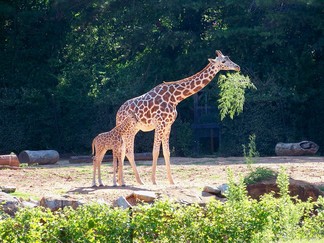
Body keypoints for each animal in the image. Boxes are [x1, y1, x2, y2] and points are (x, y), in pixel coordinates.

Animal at [116, 49, 240, 184]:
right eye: (223, 61)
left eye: (228, 58)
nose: (237, 67)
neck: (175, 98)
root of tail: (118, 113)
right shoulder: (160, 124)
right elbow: (155, 151)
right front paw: (154, 180)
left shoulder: (168, 125)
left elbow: (167, 152)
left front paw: (171, 181)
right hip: (129, 130)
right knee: (127, 151)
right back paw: (135, 181)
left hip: (133, 130)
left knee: (124, 151)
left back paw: (123, 181)